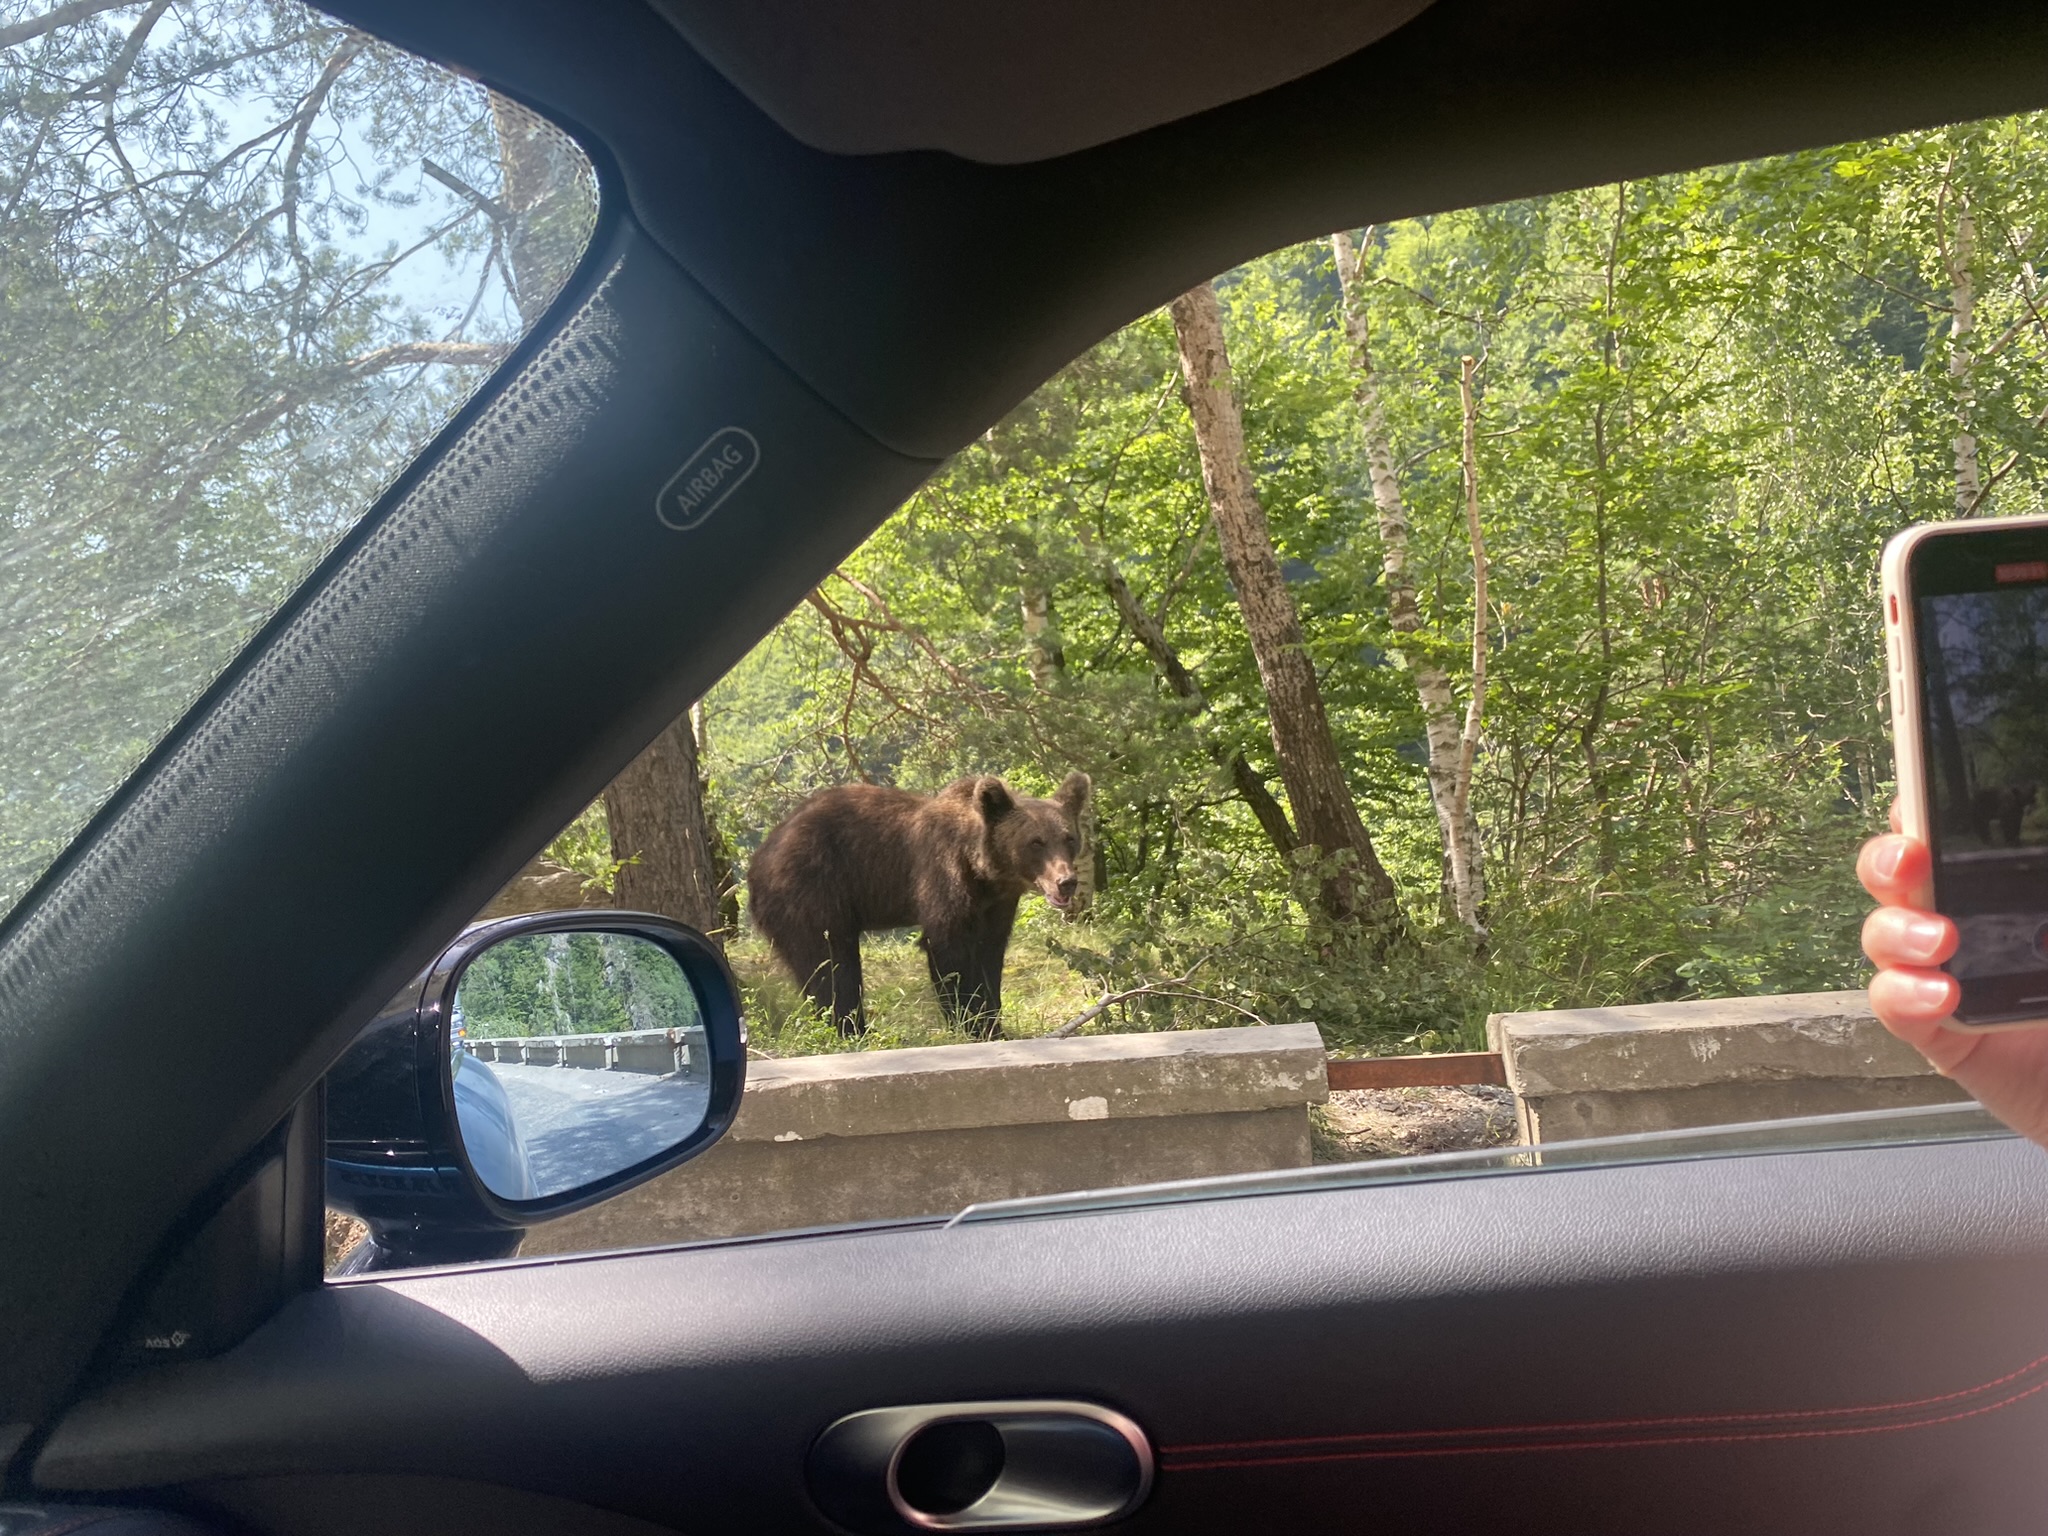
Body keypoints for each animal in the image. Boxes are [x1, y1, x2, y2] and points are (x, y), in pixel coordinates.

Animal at [753, 774, 1097, 1040]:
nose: (1066, 881)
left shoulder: (996, 904)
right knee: (830, 961)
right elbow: (949, 951)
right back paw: (853, 1030)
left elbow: (990, 955)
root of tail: (761, 855)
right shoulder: (942, 875)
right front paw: (971, 1024)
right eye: (1035, 842)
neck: (983, 869)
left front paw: (994, 1024)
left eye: (1068, 838)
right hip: (812, 889)